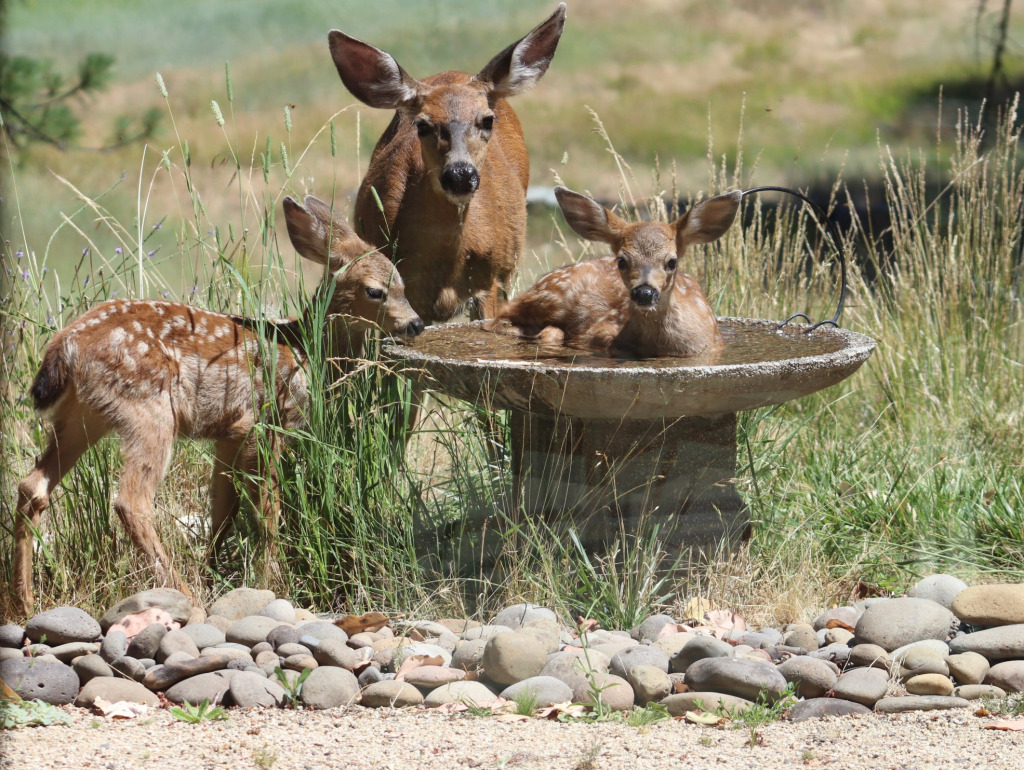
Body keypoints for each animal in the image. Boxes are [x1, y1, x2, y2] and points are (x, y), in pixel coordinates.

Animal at [12, 195, 419, 618]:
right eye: (375, 291)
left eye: (404, 285)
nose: (416, 324)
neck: (304, 348)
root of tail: (66, 347)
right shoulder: (263, 423)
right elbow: (267, 512)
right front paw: (270, 582)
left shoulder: (228, 435)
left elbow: (223, 510)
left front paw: (215, 576)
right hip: (148, 411)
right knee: (131, 501)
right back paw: (185, 597)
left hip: (82, 416)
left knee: (31, 486)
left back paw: (24, 602)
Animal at [491, 186, 741, 358]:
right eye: (621, 260)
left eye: (672, 261)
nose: (644, 293)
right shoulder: (598, 333)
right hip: (552, 294)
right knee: (499, 316)